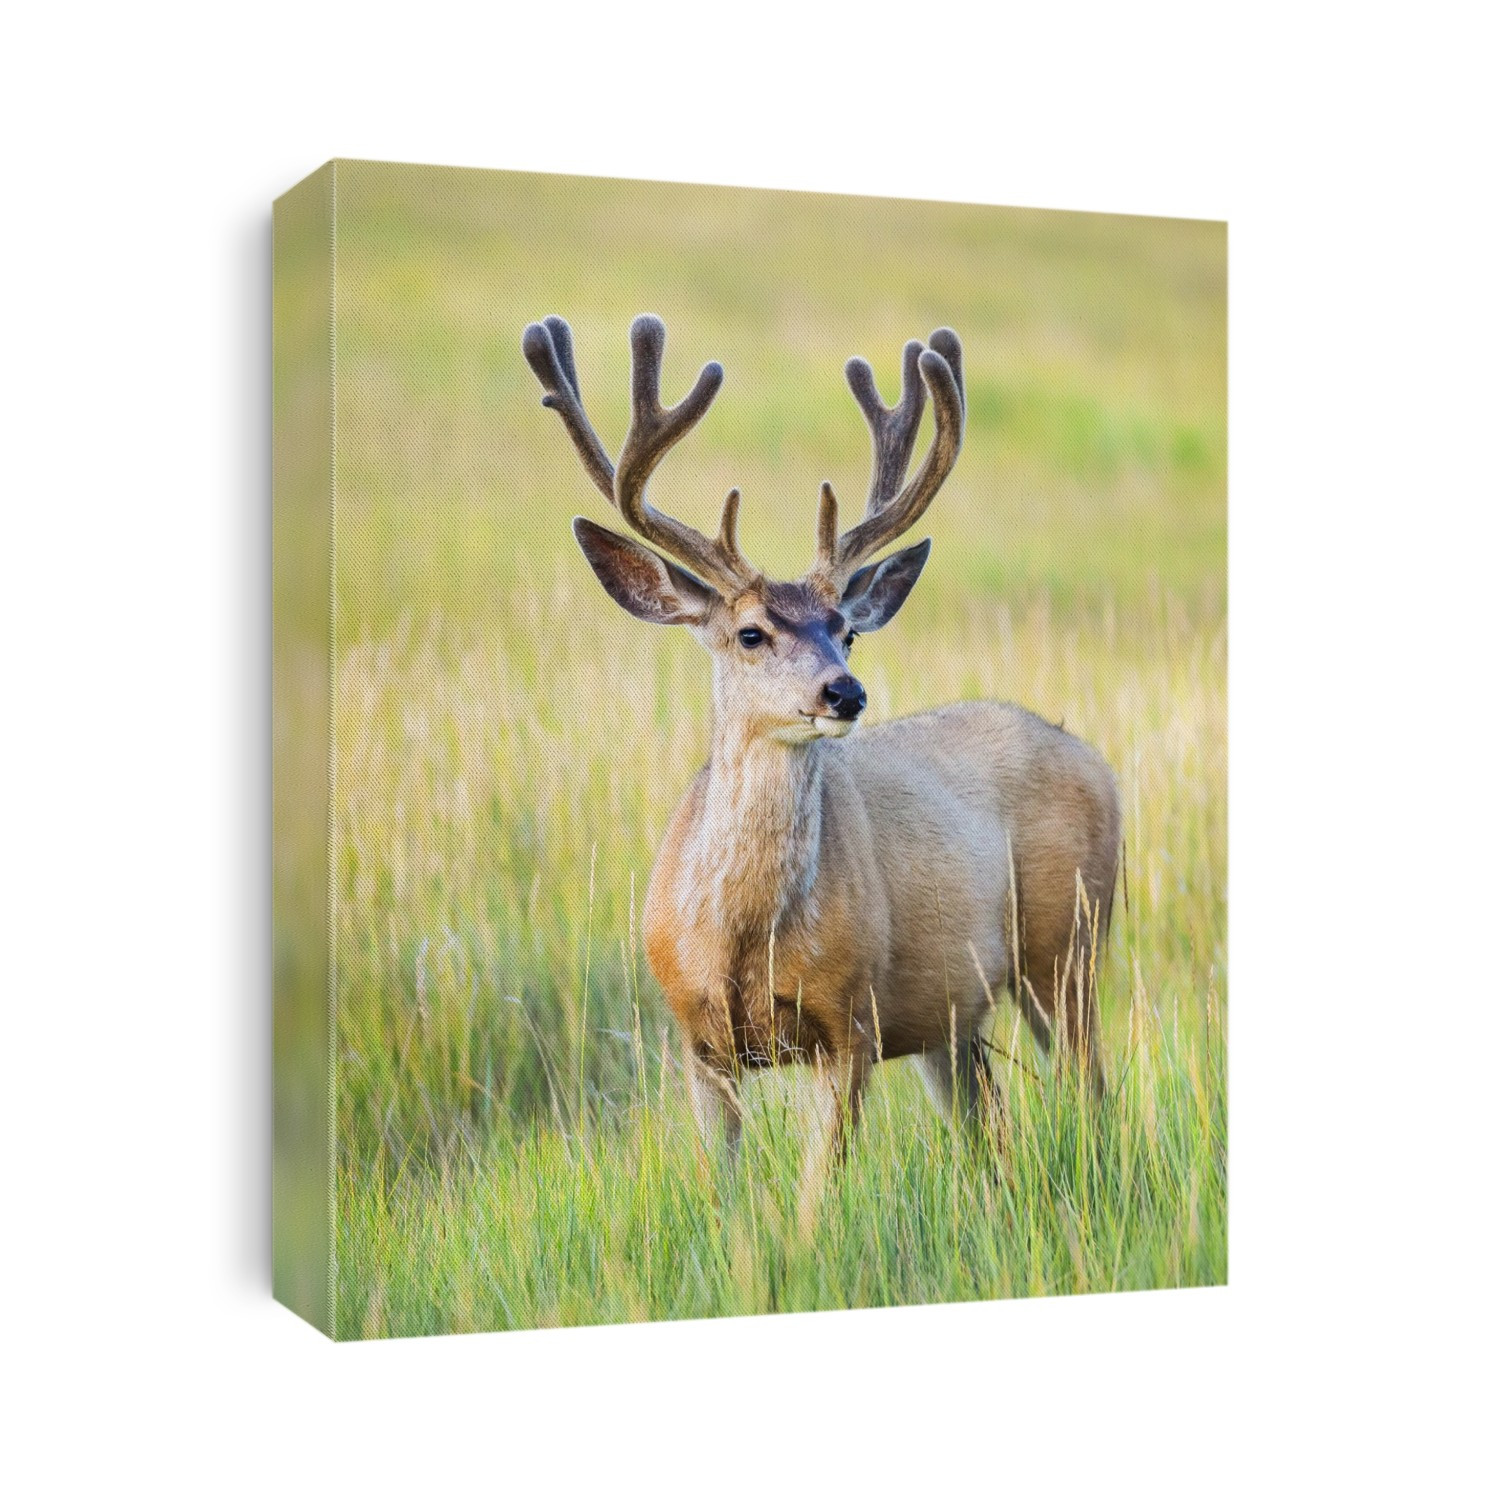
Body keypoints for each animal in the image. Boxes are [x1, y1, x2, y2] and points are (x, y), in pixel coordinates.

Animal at [522, 313, 1122, 1210]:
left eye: (847, 630)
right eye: (751, 632)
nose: (845, 691)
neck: (741, 937)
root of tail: (1090, 756)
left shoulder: (851, 1021)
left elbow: (815, 1198)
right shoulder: (696, 1040)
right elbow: (720, 1193)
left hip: (1066, 948)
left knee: (1095, 1097)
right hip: (956, 1015)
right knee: (993, 1127)